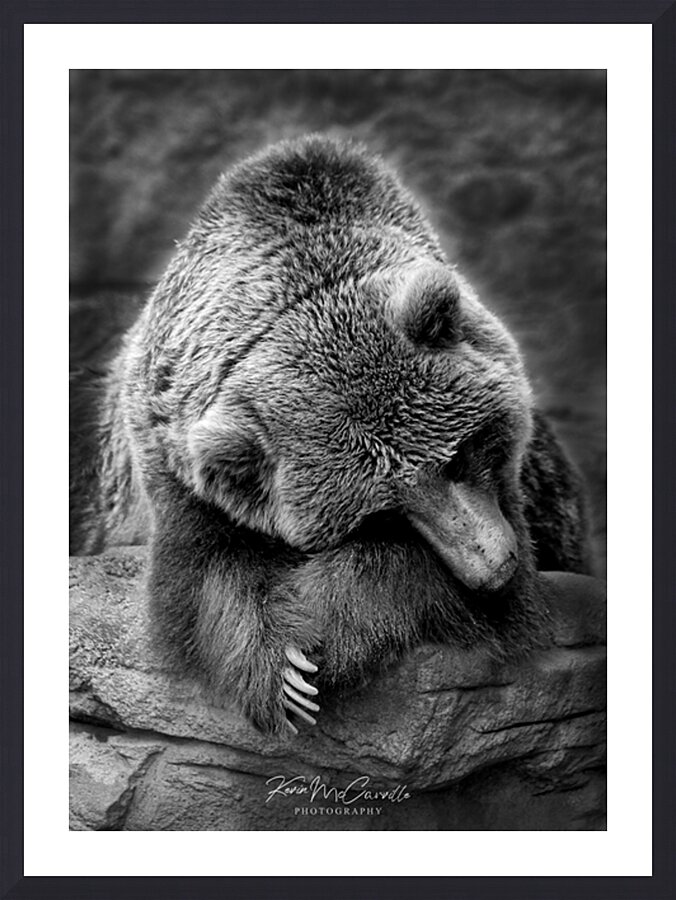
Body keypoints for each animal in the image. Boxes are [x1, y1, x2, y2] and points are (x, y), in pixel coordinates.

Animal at [84, 134, 592, 734]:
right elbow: (203, 573)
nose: (491, 568)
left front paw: (323, 637)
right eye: (383, 513)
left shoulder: (511, 499)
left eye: (458, 455)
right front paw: (284, 673)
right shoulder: (179, 465)